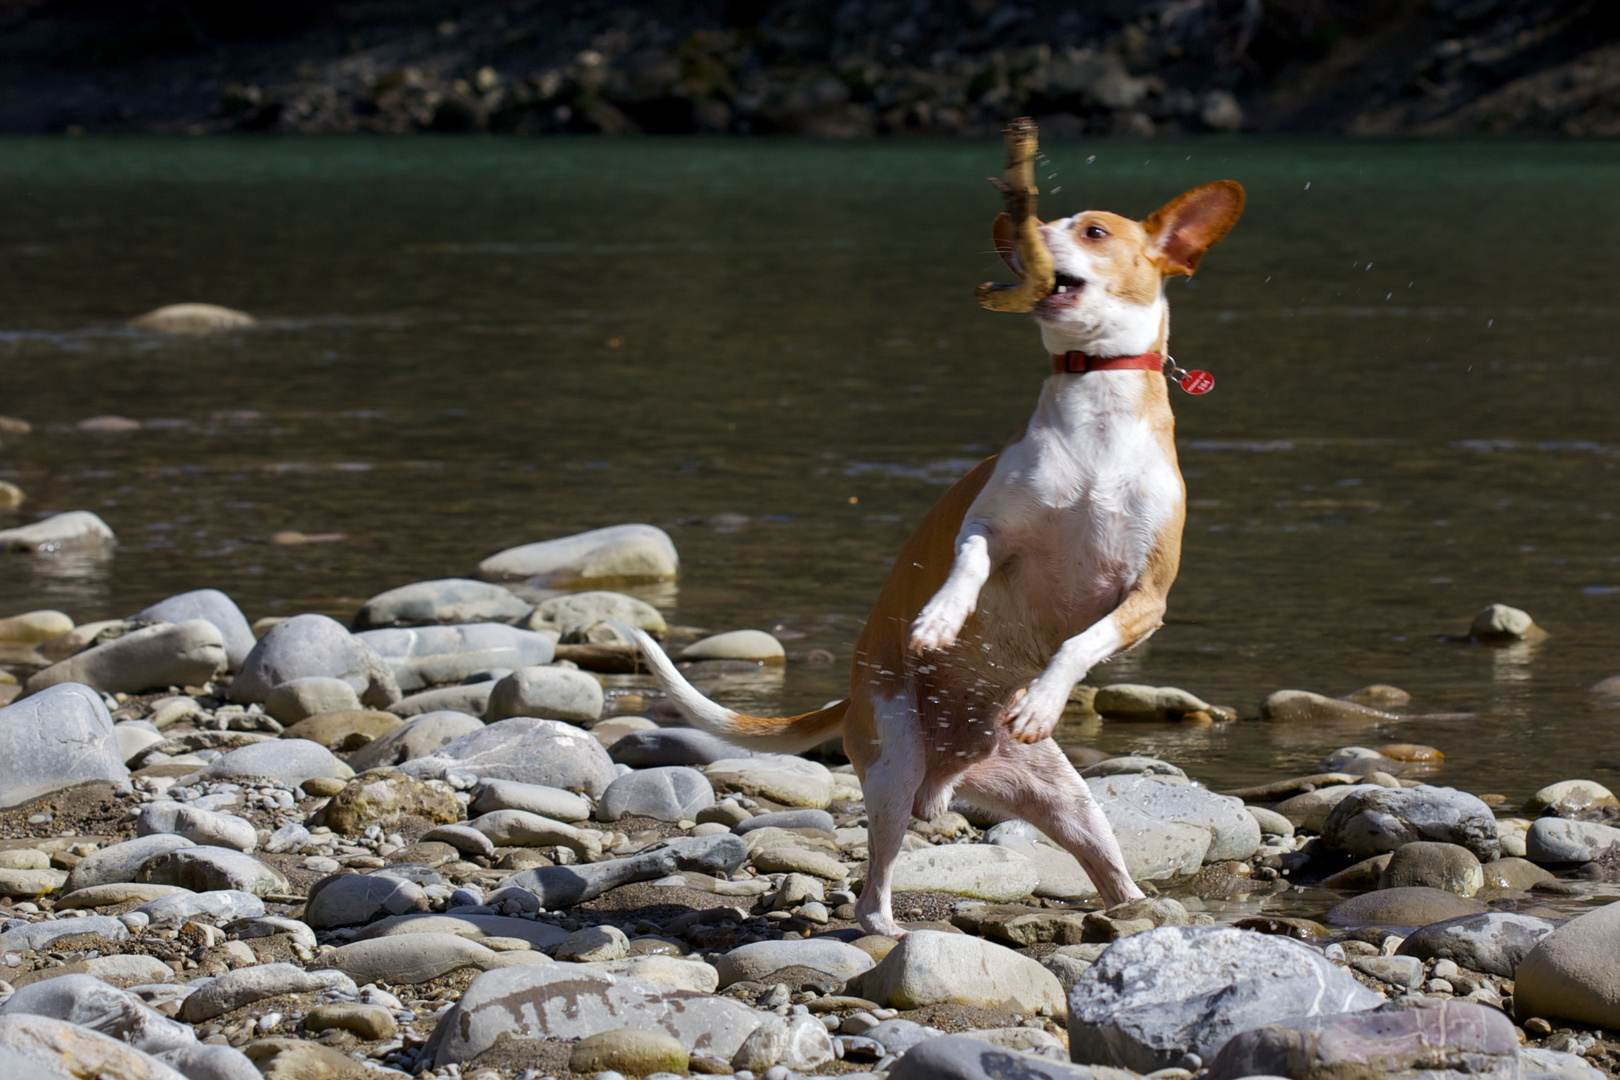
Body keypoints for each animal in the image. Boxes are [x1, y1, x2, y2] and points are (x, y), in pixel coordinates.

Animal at [631, 179, 1237, 939]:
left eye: (1094, 230)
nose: (1020, 227)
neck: (1096, 415)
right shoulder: (985, 527)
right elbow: (969, 566)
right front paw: (940, 620)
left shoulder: (1146, 598)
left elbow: (1081, 642)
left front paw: (1042, 700)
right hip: (895, 762)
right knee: (871, 892)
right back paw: (893, 930)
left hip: (1070, 805)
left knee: (1107, 870)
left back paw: (1138, 909)